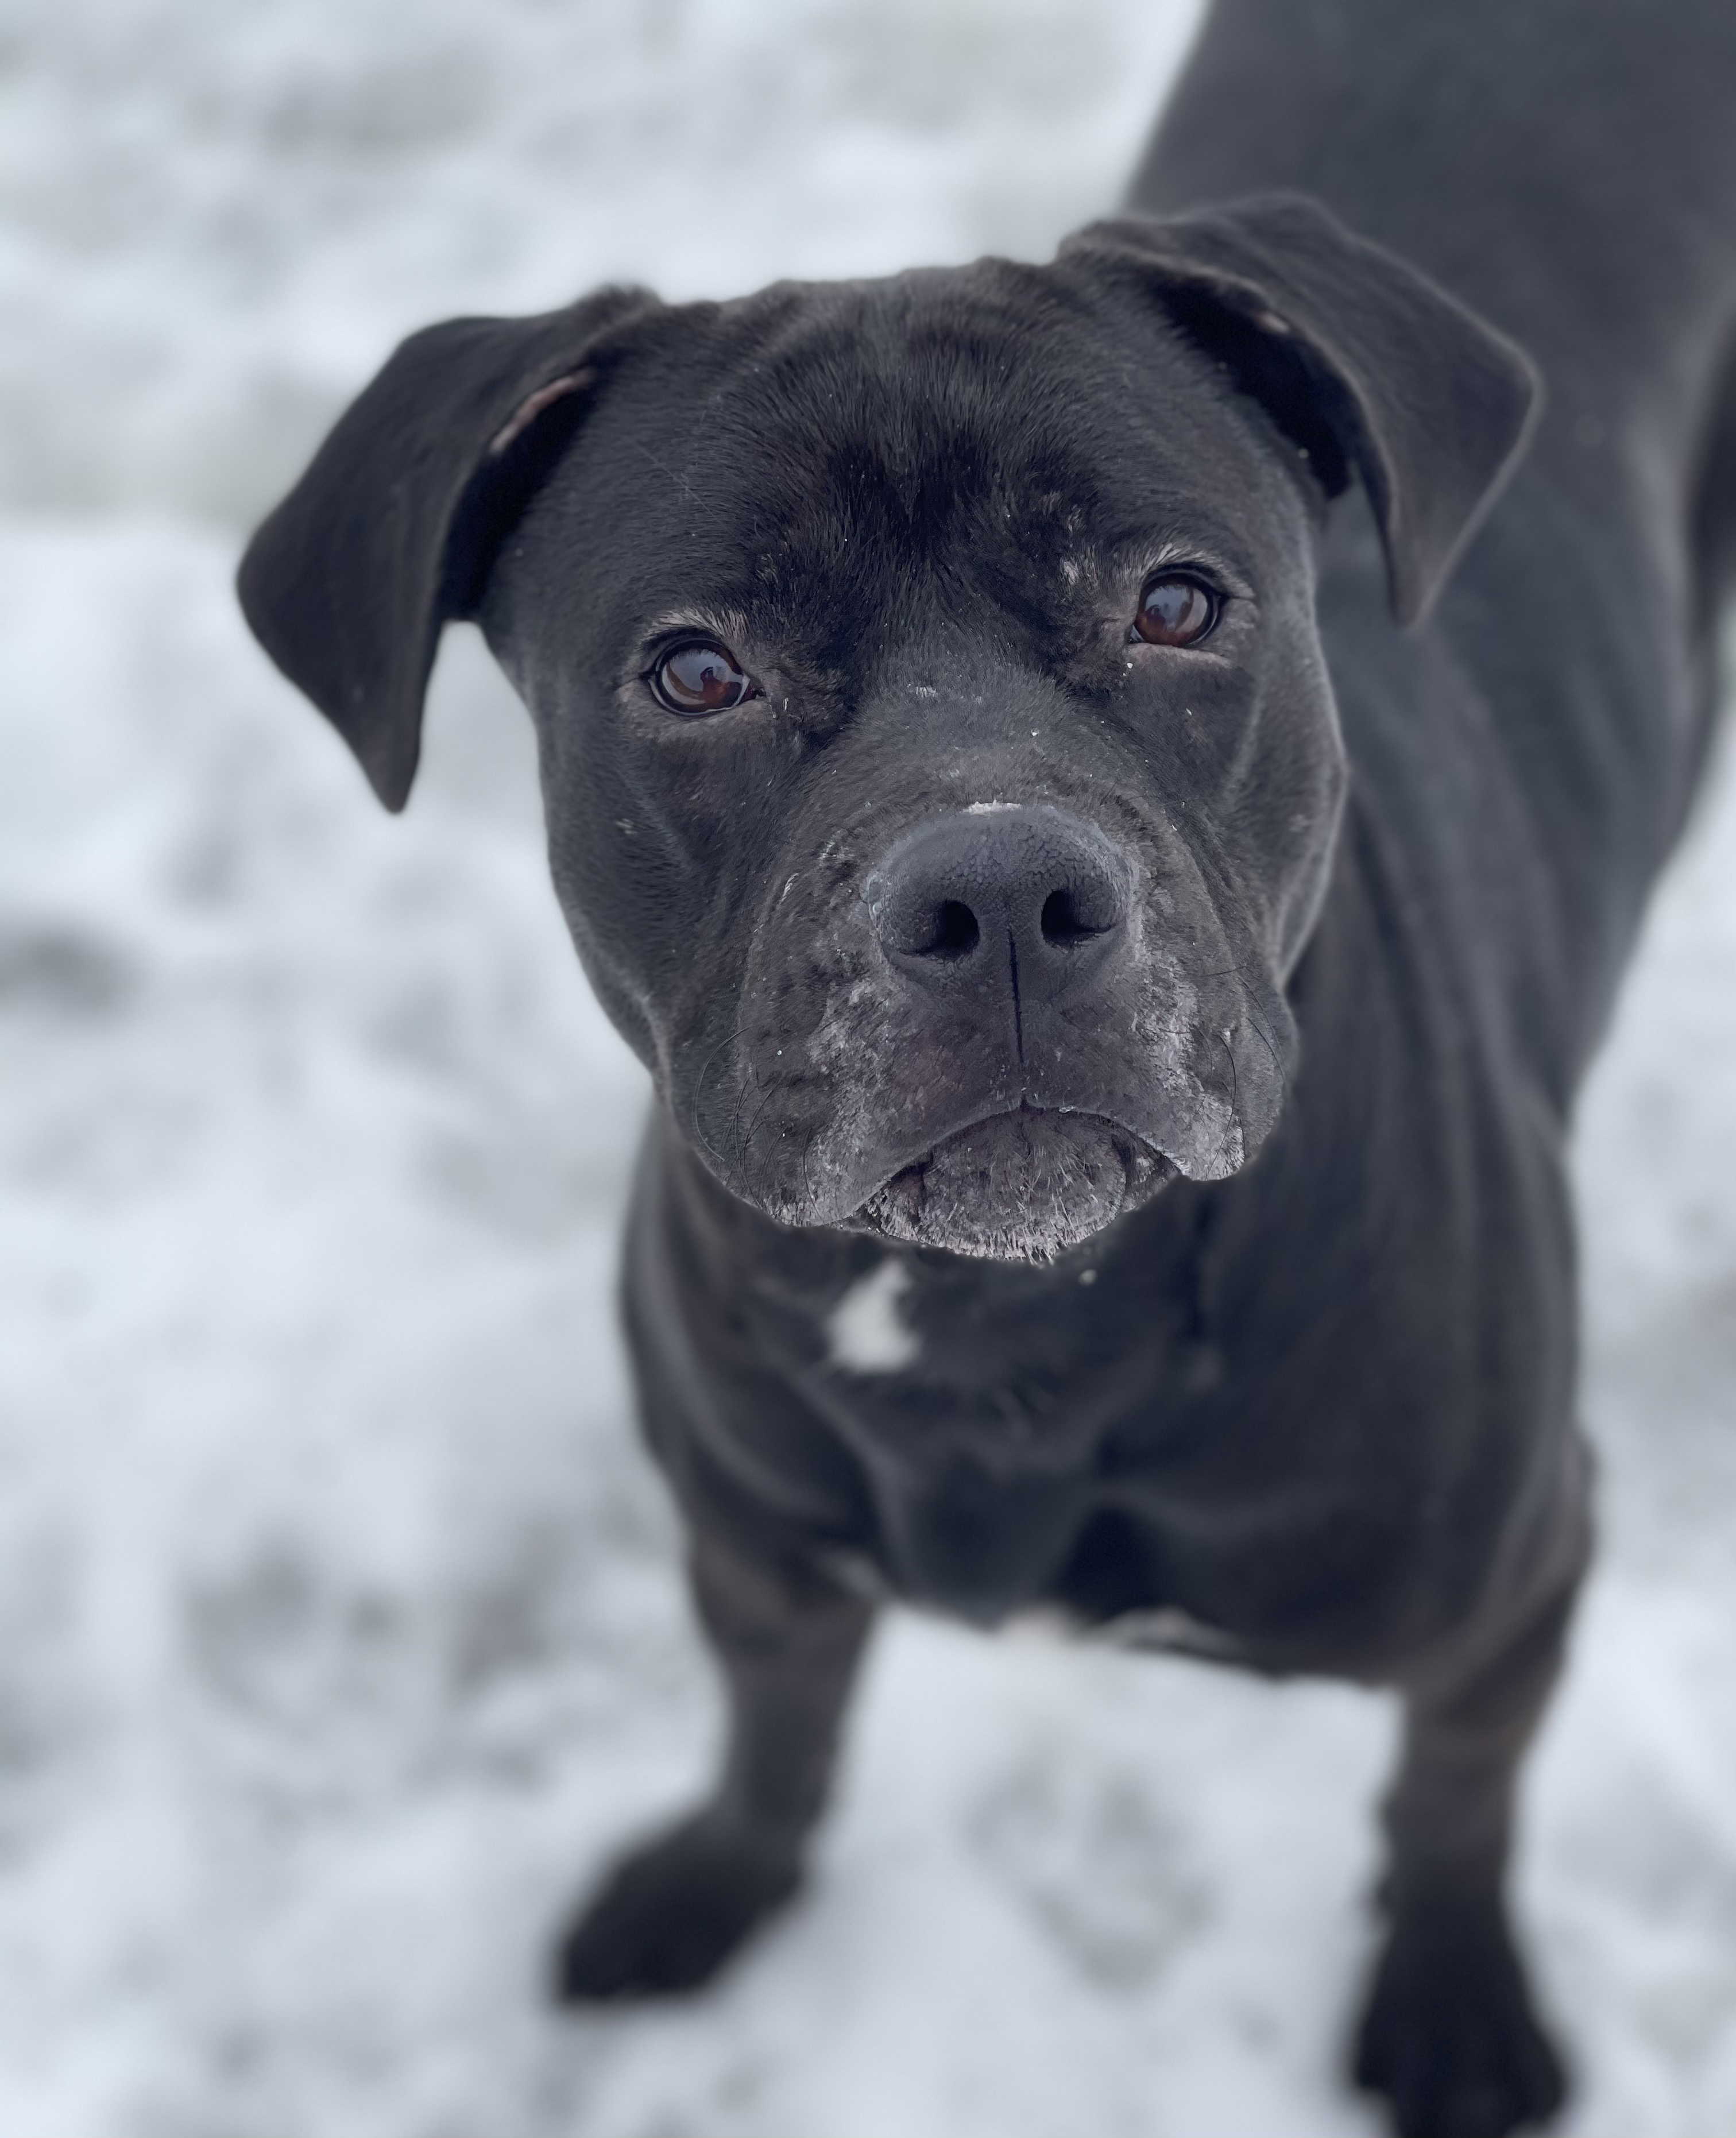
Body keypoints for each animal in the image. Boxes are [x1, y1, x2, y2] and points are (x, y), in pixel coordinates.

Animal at [234, 8, 1736, 2129]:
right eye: (694, 668)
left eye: (1177, 601)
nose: (1003, 889)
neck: (998, 1333)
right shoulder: (753, 1549)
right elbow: (773, 1734)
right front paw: (713, 1887)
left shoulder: (1508, 1597)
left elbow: (1453, 1802)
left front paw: (1451, 2007)